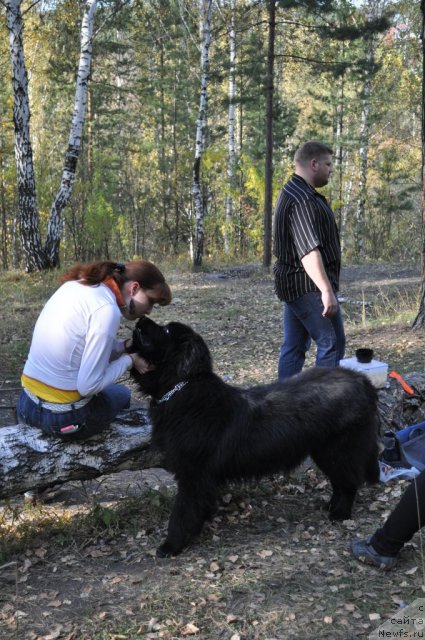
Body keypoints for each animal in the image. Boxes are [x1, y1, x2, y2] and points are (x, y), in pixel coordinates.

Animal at [132, 318, 378, 556]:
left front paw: (171, 545)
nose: (139, 320)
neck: (182, 387)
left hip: (338, 449)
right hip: (324, 450)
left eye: (165, 331)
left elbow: (181, 512)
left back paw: (340, 513)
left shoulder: (193, 473)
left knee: (348, 483)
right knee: (339, 481)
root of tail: (362, 380)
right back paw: (330, 506)